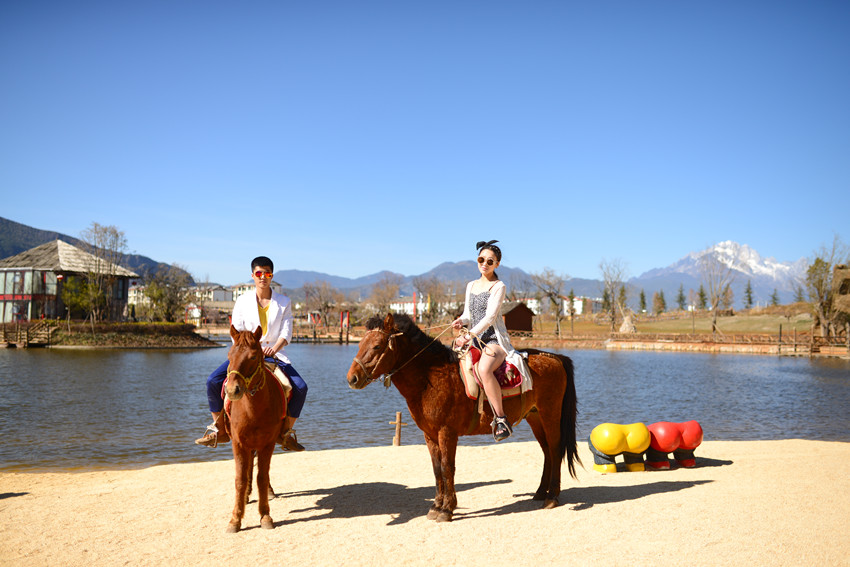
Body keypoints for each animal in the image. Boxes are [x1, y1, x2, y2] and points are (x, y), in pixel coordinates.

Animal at [222, 326, 284, 536]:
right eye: (229, 355)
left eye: (253, 356)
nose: (232, 390)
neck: (253, 410)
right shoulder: (238, 443)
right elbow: (240, 479)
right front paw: (235, 519)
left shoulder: (268, 444)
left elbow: (262, 477)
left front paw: (265, 516)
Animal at [344, 316, 576, 524]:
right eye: (361, 344)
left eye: (376, 346)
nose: (352, 378)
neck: (431, 377)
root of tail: (555, 358)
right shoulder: (429, 434)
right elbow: (436, 468)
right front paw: (436, 506)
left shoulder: (447, 432)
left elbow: (448, 467)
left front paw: (447, 509)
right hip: (535, 417)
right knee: (547, 452)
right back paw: (541, 492)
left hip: (550, 414)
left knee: (555, 449)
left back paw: (552, 497)